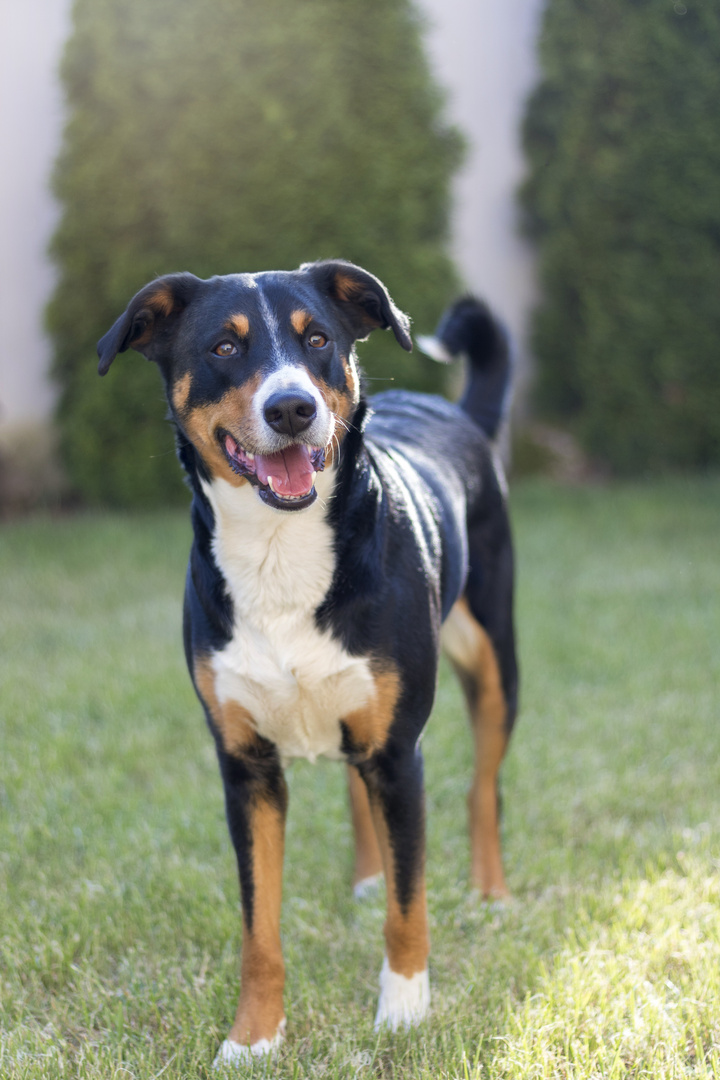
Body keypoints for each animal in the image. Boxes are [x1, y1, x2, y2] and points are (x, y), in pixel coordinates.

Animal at [98, 259, 520, 1062]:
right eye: (224, 348)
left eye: (318, 338)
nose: (292, 407)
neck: (279, 550)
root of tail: (457, 415)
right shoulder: (246, 768)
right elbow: (258, 931)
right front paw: (253, 1039)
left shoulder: (400, 752)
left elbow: (409, 907)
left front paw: (404, 1012)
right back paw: (367, 879)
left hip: (494, 660)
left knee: (483, 788)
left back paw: (491, 894)